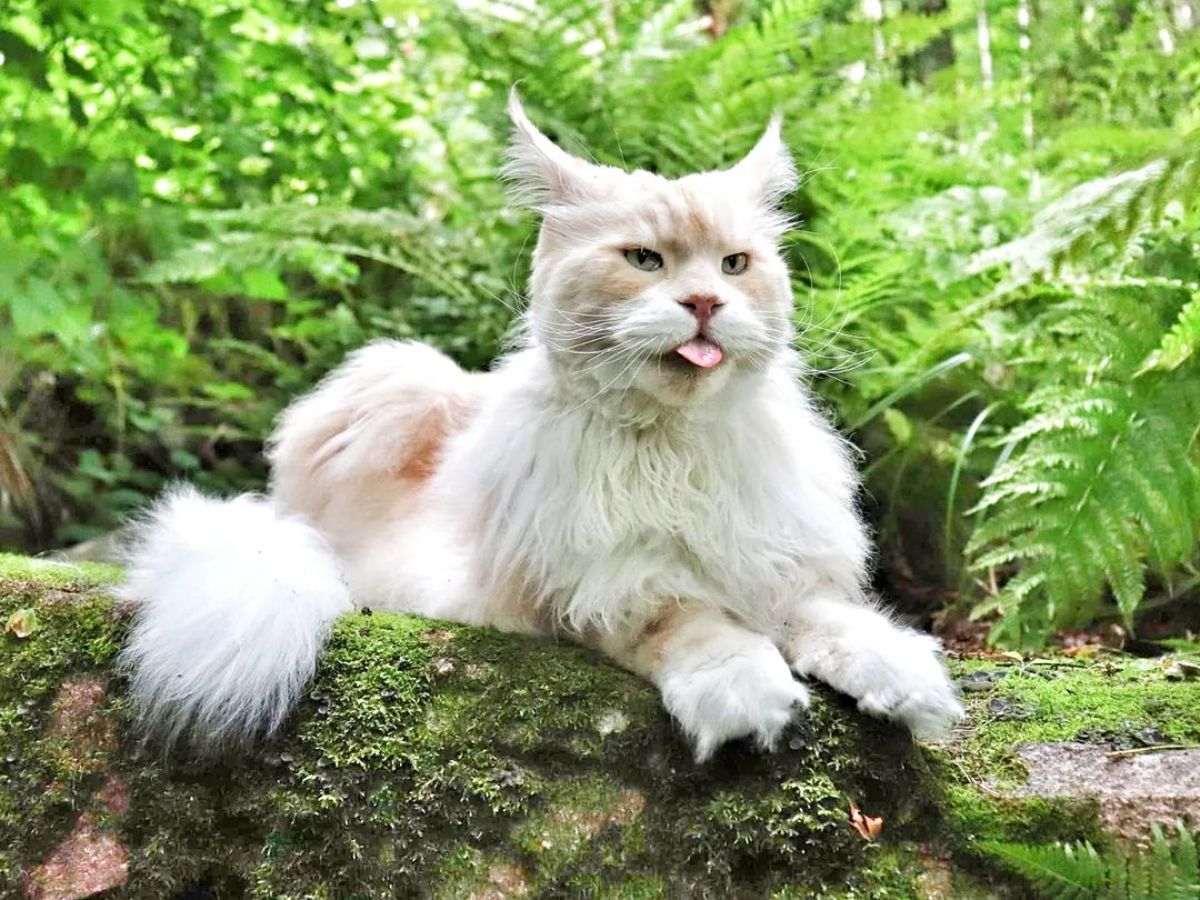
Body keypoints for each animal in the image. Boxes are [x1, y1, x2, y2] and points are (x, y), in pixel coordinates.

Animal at [119, 93, 964, 763]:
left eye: (733, 265)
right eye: (646, 261)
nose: (703, 304)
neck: (672, 446)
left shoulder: (771, 555)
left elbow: (829, 617)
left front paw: (902, 677)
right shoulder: (592, 587)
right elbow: (691, 621)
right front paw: (746, 694)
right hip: (394, 386)